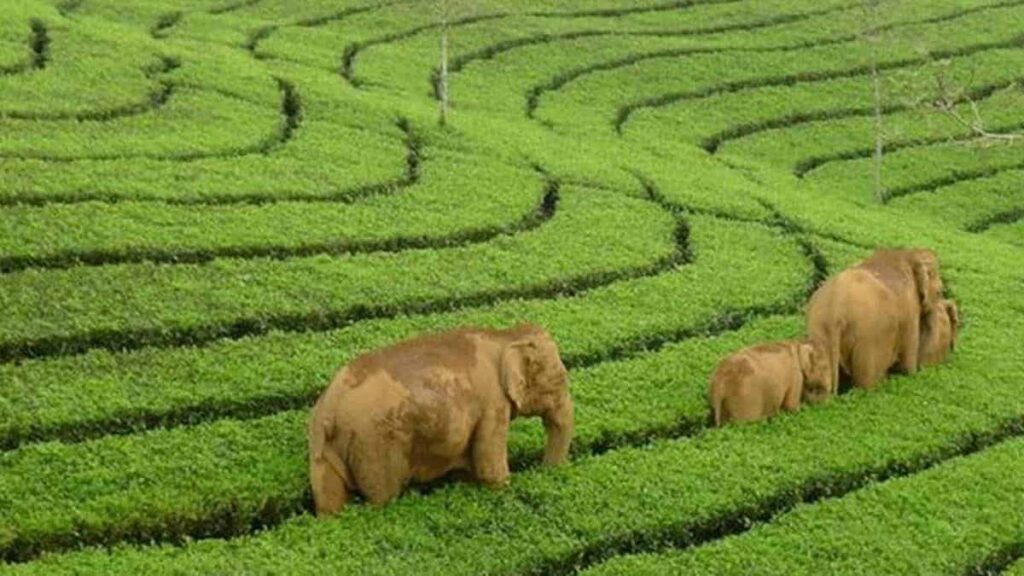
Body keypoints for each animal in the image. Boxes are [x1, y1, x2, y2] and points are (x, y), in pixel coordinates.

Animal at [308, 323, 574, 517]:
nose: (546, 473)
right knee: (382, 496)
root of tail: (330, 408)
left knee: (328, 500)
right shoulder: (492, 403)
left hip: (323, 449)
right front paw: (502, 489)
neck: (506, 335)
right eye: (561, 378)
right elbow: (489, 466)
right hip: (375, 443)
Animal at [806, 248, 944, 393]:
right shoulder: (910, 308)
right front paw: (910, 374)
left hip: (820, 331)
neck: (908, 254)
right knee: (867, 381)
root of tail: (835, 312)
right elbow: (908, 357)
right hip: (869, 340)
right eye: (939, 293)